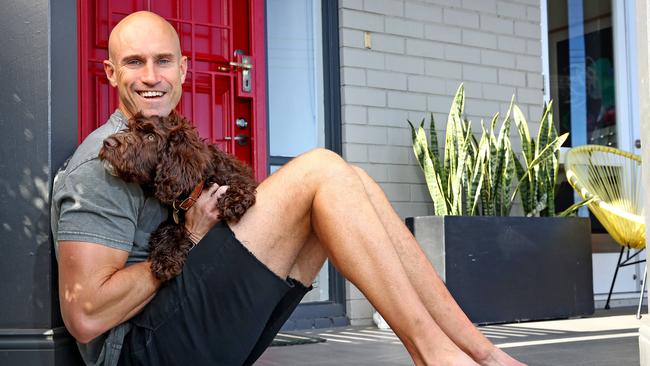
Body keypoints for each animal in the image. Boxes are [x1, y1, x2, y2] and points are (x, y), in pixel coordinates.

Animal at [98, 111, 256, 280]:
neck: (194, 188)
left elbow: (238, 181)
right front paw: (166, 258)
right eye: (129, 129)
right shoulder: (173, 215)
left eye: (151, 137)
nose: (107, 142)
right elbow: (168, 228)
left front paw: (234, 200)